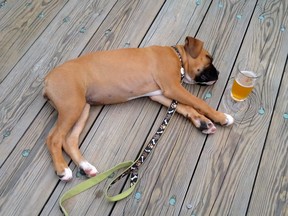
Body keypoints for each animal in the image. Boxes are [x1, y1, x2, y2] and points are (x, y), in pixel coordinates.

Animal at [43, 36, 234, 181]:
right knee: (54, 138)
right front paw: (222, 117)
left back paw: (86, 167)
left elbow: (187, 107)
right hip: (72, 106)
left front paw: (203, 123)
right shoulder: (172, 87)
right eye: (208, 57)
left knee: (69, 140)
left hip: (83, 108)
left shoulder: (160, 93)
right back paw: (62, 170)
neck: (177, 56)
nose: (218, 74)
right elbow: (199, 102)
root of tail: (46, 80)